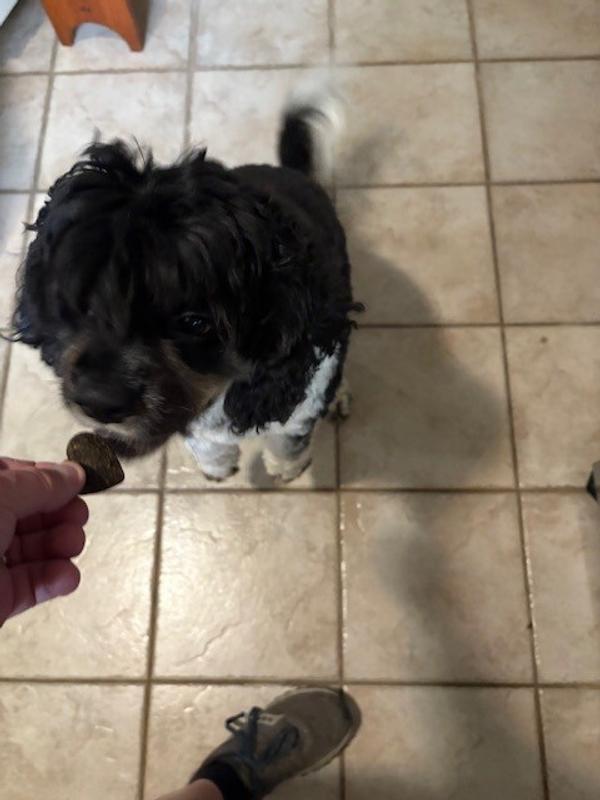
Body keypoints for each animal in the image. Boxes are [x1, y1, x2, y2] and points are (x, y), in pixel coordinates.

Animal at [11, 87, 363, 482]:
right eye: (83, 298)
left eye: (195, 321)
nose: (98, 402)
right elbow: (205, 442)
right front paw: (217, 465)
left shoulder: (300, 393)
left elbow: (289, 439)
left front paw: (286, 469)